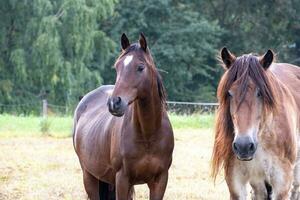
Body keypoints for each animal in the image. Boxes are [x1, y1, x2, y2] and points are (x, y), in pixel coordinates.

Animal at [73, 33, 175, 199]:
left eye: (140, 67)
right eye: (117, 67)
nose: (114, 103)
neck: (148, 134)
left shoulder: (160, 180)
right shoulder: (122, 179)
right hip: (89, 176)